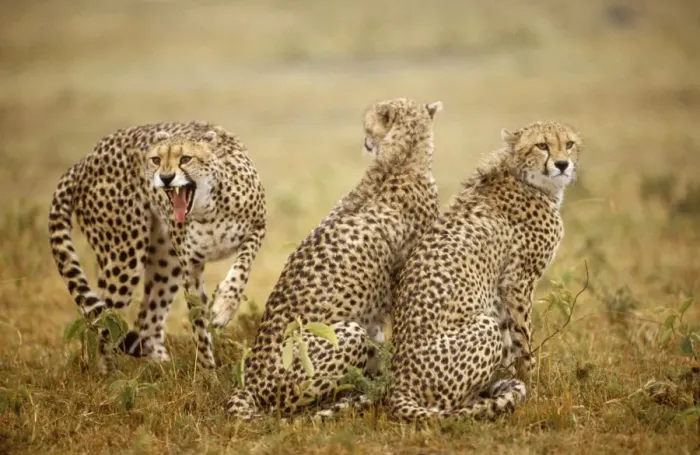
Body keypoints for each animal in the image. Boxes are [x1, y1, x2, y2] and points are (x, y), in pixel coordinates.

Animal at [48, 121, 266, 373]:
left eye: (186, 159)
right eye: (155, 159)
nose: (166, 177)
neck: (208, 210)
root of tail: (86, 158)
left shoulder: (257, 228)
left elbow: (241, 269)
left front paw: (224, 307)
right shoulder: (190, 265)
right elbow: (198, 321)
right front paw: (207, 371)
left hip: (166, 261)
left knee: (146, 320)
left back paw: (162, 367)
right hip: (125, 255)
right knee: (106, 318)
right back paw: (108, 374)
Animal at [225, 97, 444, 420]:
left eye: (368, 128)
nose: (365, 142)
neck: (400, 158)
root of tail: (250, 384)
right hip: (345, 336)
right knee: (293, 408)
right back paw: (355, 398)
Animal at [385, 120, 583, 422]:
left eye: (569, 144)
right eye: (542, 145)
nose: (562, 164)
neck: (523, 176)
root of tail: (399, 383)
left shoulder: (501, 292)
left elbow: (510, 343)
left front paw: (515, 377)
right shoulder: (517, 282)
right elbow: (524, 340)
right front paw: (533, 386)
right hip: (481, 329)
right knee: (448, 406)